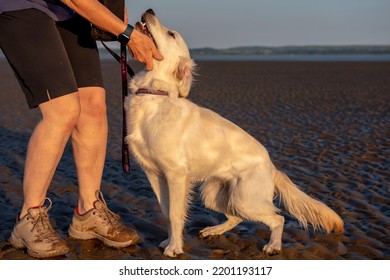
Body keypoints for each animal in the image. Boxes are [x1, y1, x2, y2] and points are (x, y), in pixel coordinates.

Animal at [124, 9, 342, 258]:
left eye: (171, 34)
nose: (149, 10)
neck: (153, 94)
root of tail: (272, 167)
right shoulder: (154, 173)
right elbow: (166, 213)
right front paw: (169, 242)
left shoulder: (176, 174)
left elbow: (175, 214)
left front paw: (174, 248)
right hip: (214, 195)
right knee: (236, 217)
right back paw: (213, 230)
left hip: (244, 198)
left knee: (277, 219)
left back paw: (273, 246)